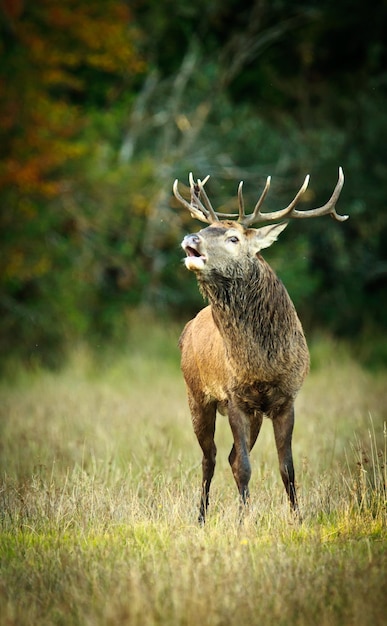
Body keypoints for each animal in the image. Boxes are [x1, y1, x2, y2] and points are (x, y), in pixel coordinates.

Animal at [174, 167, 348, 520]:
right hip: (196, 394)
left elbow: (287, 467)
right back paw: (201, 518)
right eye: (203, 228)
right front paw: (244, 522)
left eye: (234, 238)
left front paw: (297, 518)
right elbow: (244, 467)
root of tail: (189, 326)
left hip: (251, 412)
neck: (262, 364)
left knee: (227, 457)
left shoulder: (287, 398)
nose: (190, 238)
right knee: (210, 458)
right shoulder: (234, 398)